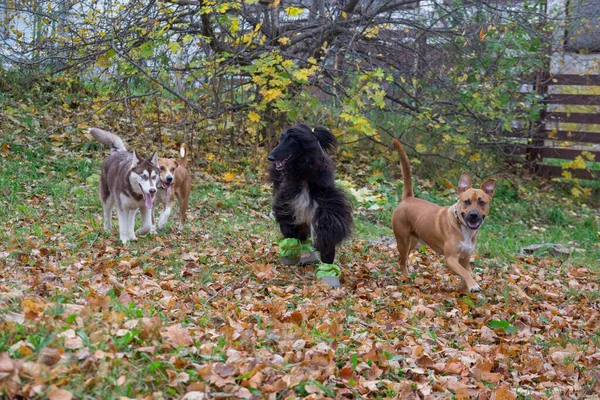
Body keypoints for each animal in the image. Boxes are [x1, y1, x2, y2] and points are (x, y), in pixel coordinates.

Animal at [266, 123, 352, 280]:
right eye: (281, 138)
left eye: (291, 140)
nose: (271, 157)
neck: (304, 173)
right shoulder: (288, 200)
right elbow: (287, 223)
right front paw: (290, 245)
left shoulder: (326, 201)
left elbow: (328, 228)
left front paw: (328, 268)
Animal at [392, 139, 494, 292]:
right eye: (467, 201)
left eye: (482, 202)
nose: (473, 215)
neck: (464, 229)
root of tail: (408, 198)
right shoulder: (450, 259)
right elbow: (465, 273)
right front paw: (473, 285)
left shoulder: (465, 258)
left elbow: (466, 273)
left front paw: (466, 290)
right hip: (403, 240)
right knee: (402, 261)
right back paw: (405, 277)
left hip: (413, 241)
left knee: (402, 258)